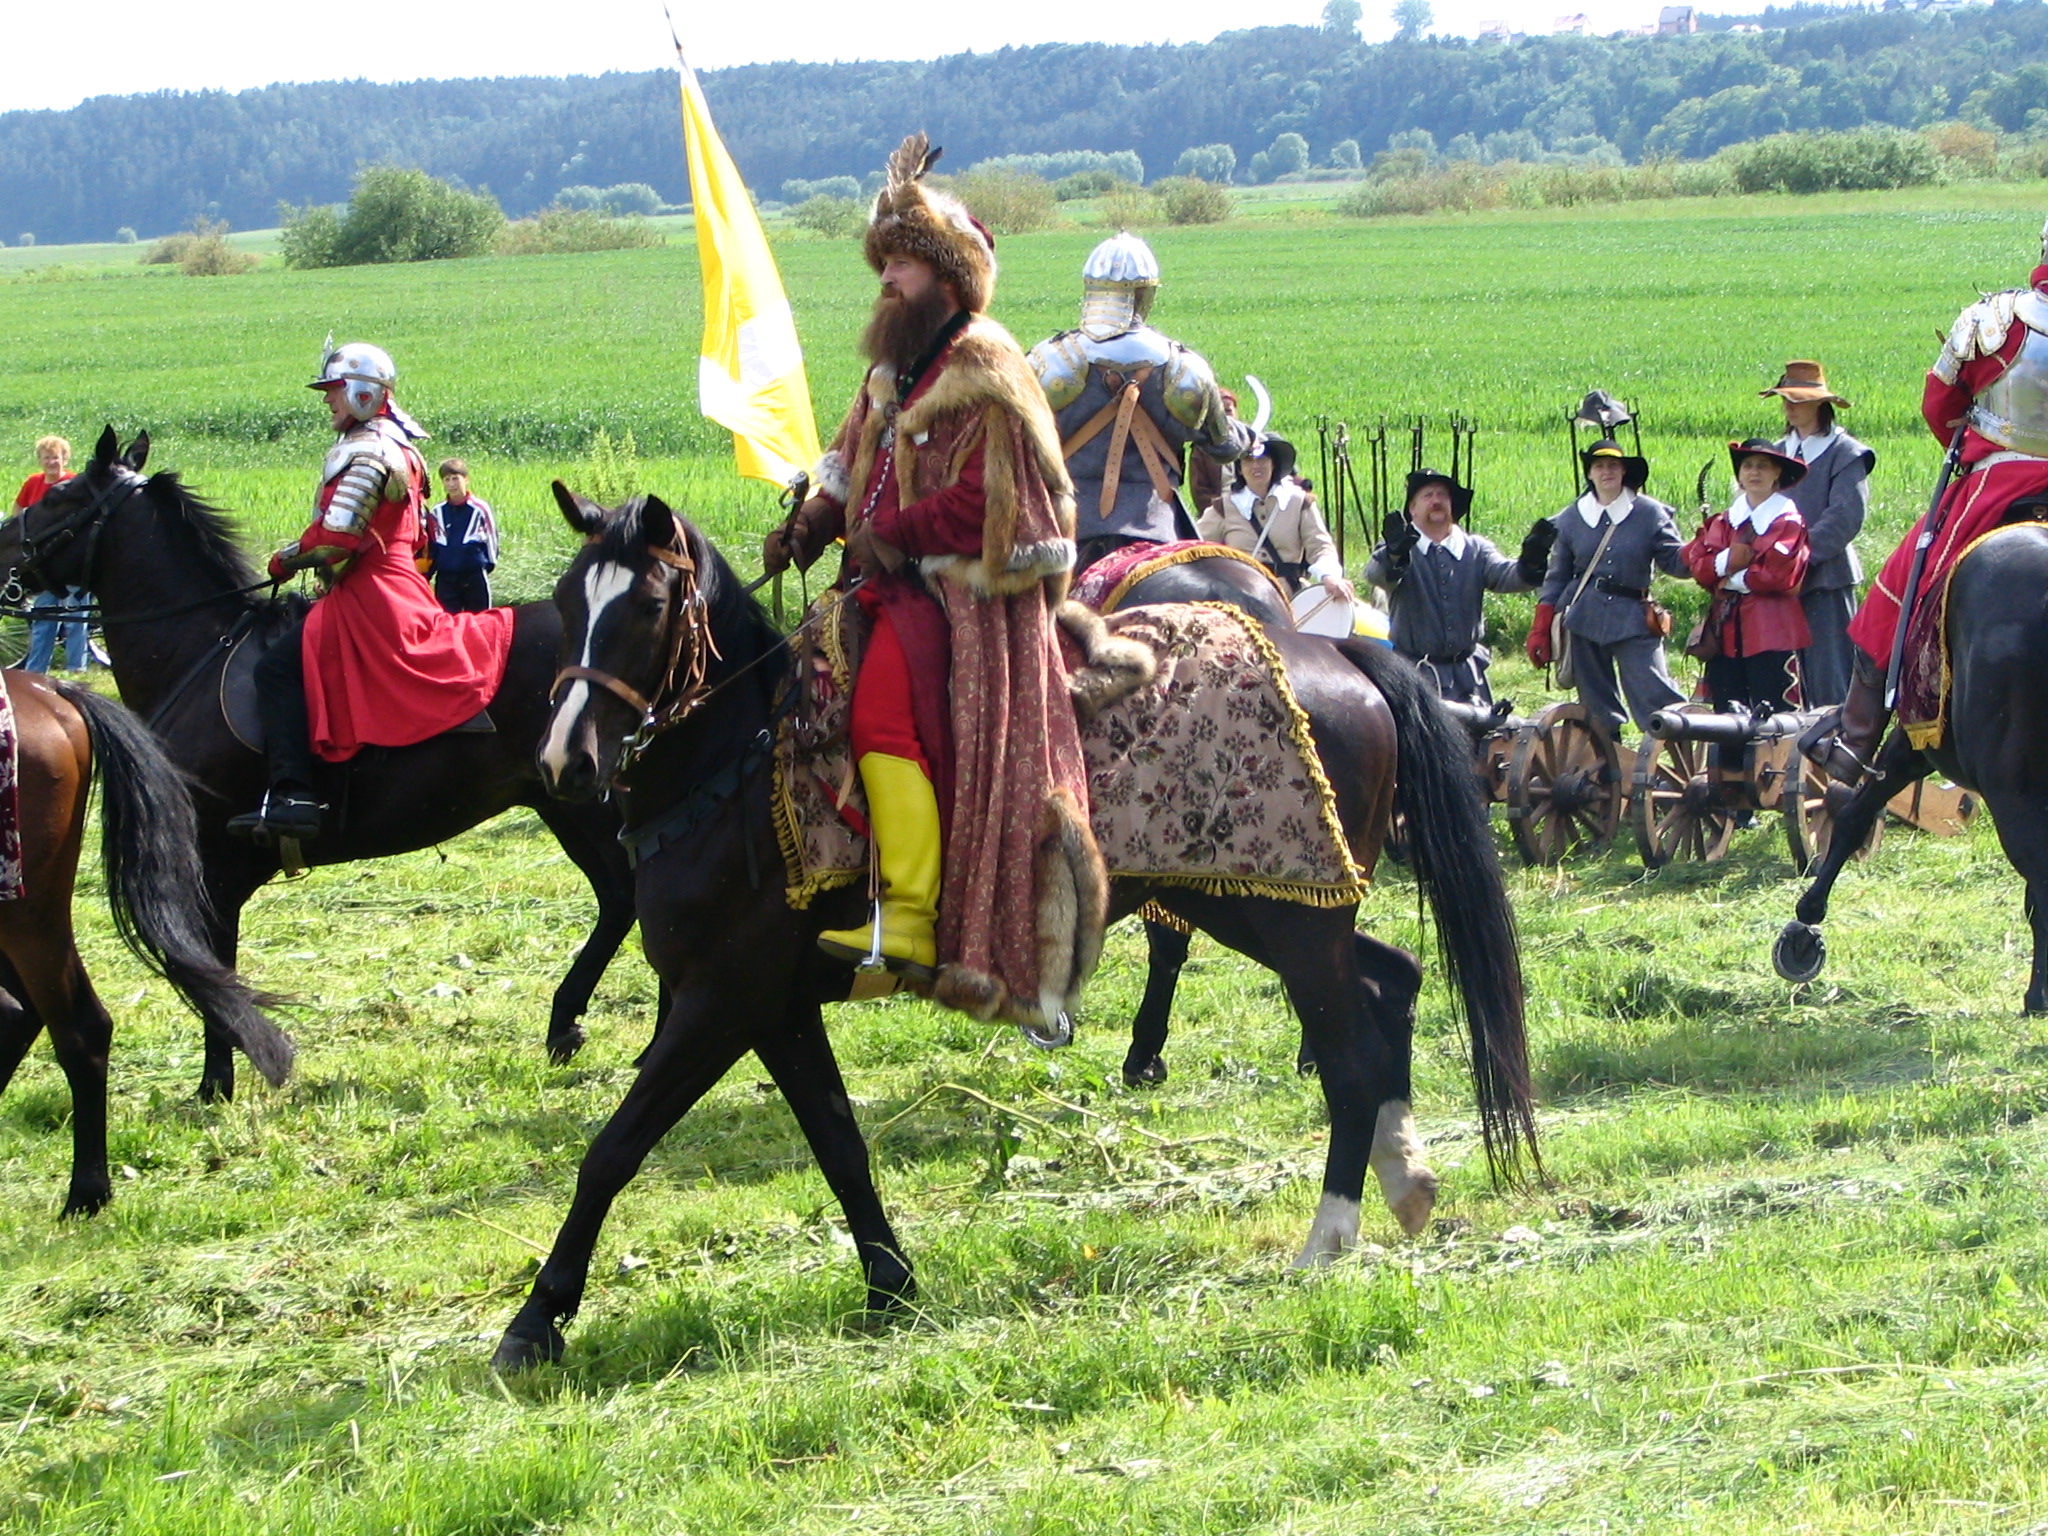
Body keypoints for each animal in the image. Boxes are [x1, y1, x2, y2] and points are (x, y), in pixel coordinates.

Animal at [10, 429, 641, 1100]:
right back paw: (580, 1029)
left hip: (590, 808)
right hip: (565, 806)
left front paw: (216, 1082)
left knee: (630, 897)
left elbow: (212, 965)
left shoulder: (216, 860)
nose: (5, 554)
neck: (197, 649)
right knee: (619, 899)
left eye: (60, 498)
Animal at [491, 489, 1535, 1371]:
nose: (564, 761)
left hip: (1285, 918)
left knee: (1350, 1048)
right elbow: (838, 1143)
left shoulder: (719, 1002)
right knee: (1390, 985)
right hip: (1267, 908)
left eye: (648, 606)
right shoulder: (777, 1009)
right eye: (568, 602)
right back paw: (1407, 1180)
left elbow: (614, 1150)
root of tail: (1336, 655)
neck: (744, 769)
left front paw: (537, 1320)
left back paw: (1329, 1236)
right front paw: (891, 1285)